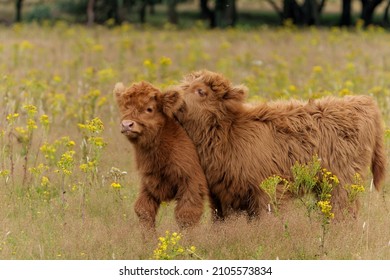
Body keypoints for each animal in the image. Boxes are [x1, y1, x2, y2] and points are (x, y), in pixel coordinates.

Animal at [114, 80, 209, 230]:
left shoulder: (192, 182)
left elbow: (186, 215)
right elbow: (143, 210)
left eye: (149, 109)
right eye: (125, 107)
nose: (127, 125)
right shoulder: (149, 183)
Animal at [174, 69, 386, 220]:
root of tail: (361, 101)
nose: (173, 94)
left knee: (344, 212)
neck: (229, 133)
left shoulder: (268, 190)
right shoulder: (221, 196)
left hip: (343, 181)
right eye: (185, 85)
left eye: (201, 91)